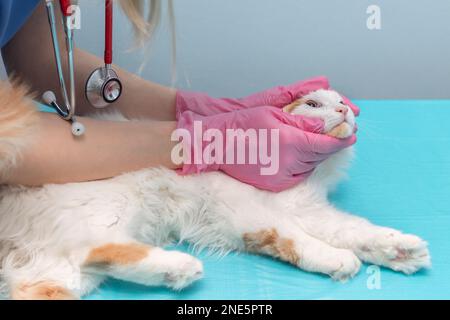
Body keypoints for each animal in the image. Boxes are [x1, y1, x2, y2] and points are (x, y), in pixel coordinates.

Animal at [0, 85, 428, 300]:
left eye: (341, 102)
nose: (343, 111)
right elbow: (297, 239)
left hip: (61, 271)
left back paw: (174, 272)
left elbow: (357, 231)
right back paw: (183, 267)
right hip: (108, 211)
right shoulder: (250, 211)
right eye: (312, 103)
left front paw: (400, 251)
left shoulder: (311, 210)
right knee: (93, 248)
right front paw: (337, 260)